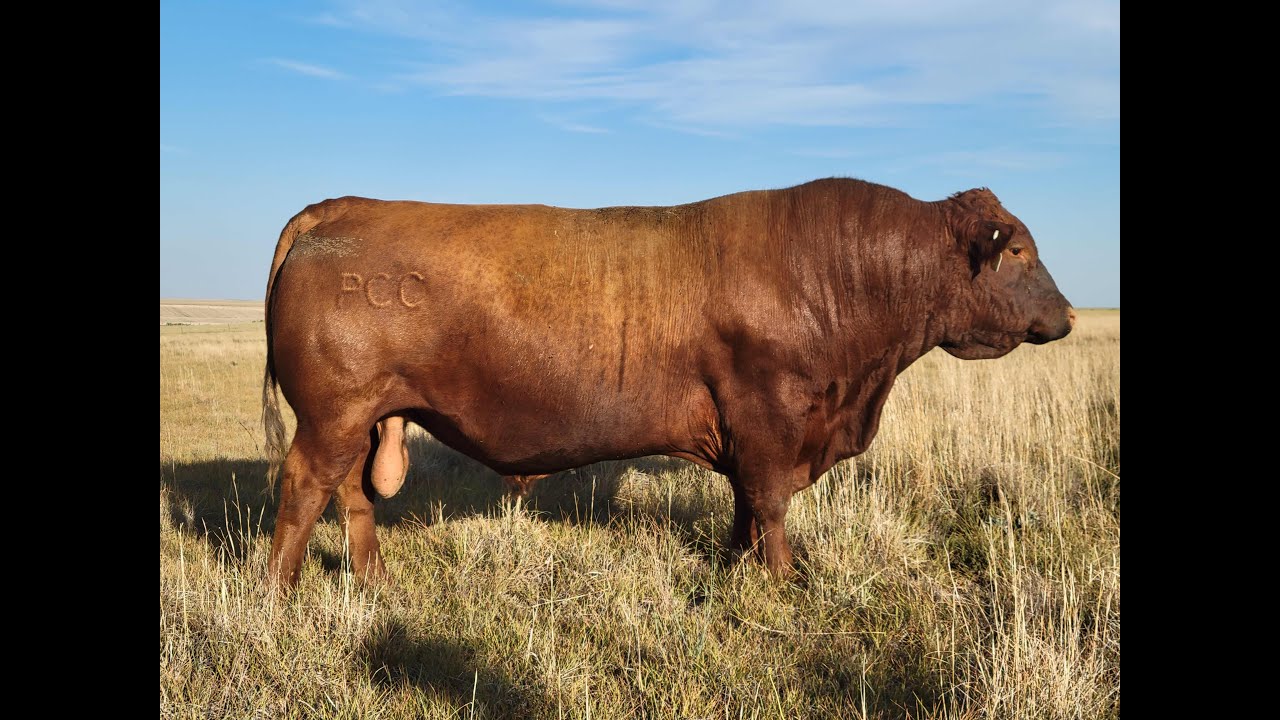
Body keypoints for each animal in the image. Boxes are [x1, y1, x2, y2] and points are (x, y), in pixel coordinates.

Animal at [261, 178, 1074, 588]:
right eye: (1020, 251)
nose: (1067, 315)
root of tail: (340, 207)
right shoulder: (769, 418)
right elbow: (771, 503)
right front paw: (783, 584)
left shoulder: (749, 432)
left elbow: (746, 504)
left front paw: (738, 567)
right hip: (333, 413)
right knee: (302, 488)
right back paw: (279, 591)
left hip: (362, 417)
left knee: (352, 494)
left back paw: (373, 582)